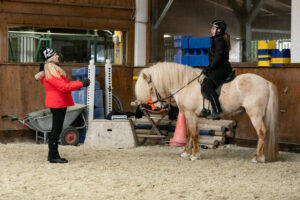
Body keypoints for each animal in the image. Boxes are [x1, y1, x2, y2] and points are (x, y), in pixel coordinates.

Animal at [136, 62, 278, 162]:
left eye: (150, 89)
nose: (158, 107)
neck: (186, 85)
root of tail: (265, 82)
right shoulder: (187, 115)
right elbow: (188, 134)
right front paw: (185, 153)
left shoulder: (191, 115)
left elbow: (194, 134)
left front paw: (194, 155)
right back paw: (261, 157)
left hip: (255, 114)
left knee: (261, 132)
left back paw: (256, 158)